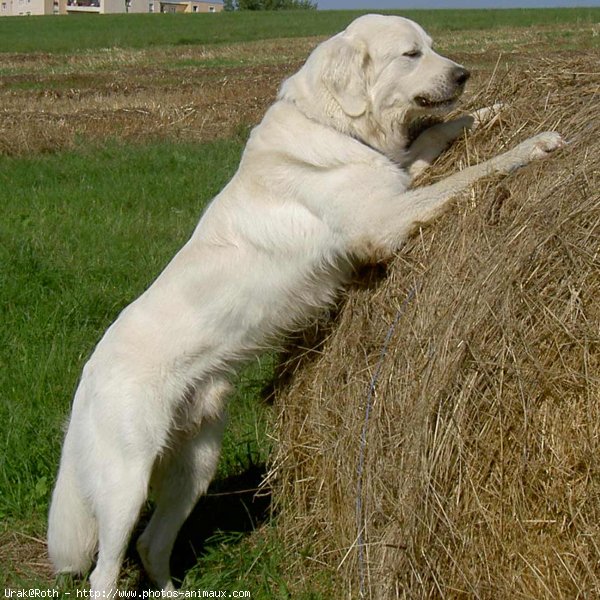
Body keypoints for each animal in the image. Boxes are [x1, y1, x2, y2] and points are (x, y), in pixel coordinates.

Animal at [45, 12, 564, 592]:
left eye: (431, 47)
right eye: (411, 54)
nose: (463, 75)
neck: (334, 123)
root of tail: (88, 374)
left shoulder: (396, 180)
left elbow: (436, 132)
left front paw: (491, 111)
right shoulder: (383, 225)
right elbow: (472, 174)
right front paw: (532, 144)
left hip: (195, 465)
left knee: (152, 545)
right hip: (125, 484)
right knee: (106, 571)